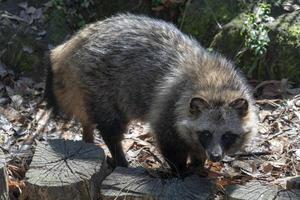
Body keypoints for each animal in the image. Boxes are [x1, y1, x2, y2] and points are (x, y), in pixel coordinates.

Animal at [45, 13, 258, 175]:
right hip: (100, 84)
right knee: (111, 126)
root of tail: (76, 40)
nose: (215, 156)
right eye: (206, 133)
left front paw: (198, 163)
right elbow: (170, 143)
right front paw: (181, 171)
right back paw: (119, 157)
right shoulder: (170, 106)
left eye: (227, 135)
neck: (217, 86)